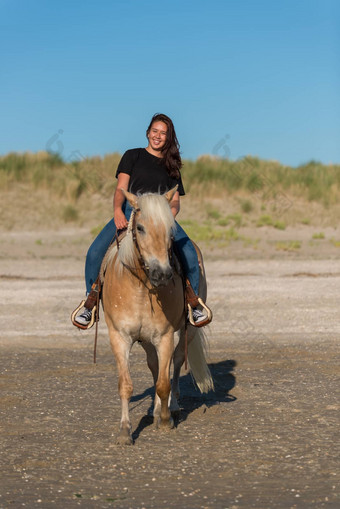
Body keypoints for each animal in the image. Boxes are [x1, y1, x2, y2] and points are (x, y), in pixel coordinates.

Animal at [101, 187, 212, 444]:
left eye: (171, 230)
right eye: (140, 228)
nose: (162, 274)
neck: (142, 289)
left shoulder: (165, 337)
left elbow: (163, 383)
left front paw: (165, 420)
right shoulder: (119, 337)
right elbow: (126, 385)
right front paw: (125, 432)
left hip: (187, 332)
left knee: (175, 364)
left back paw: (172, 407)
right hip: (146, 341)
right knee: (154, 365)